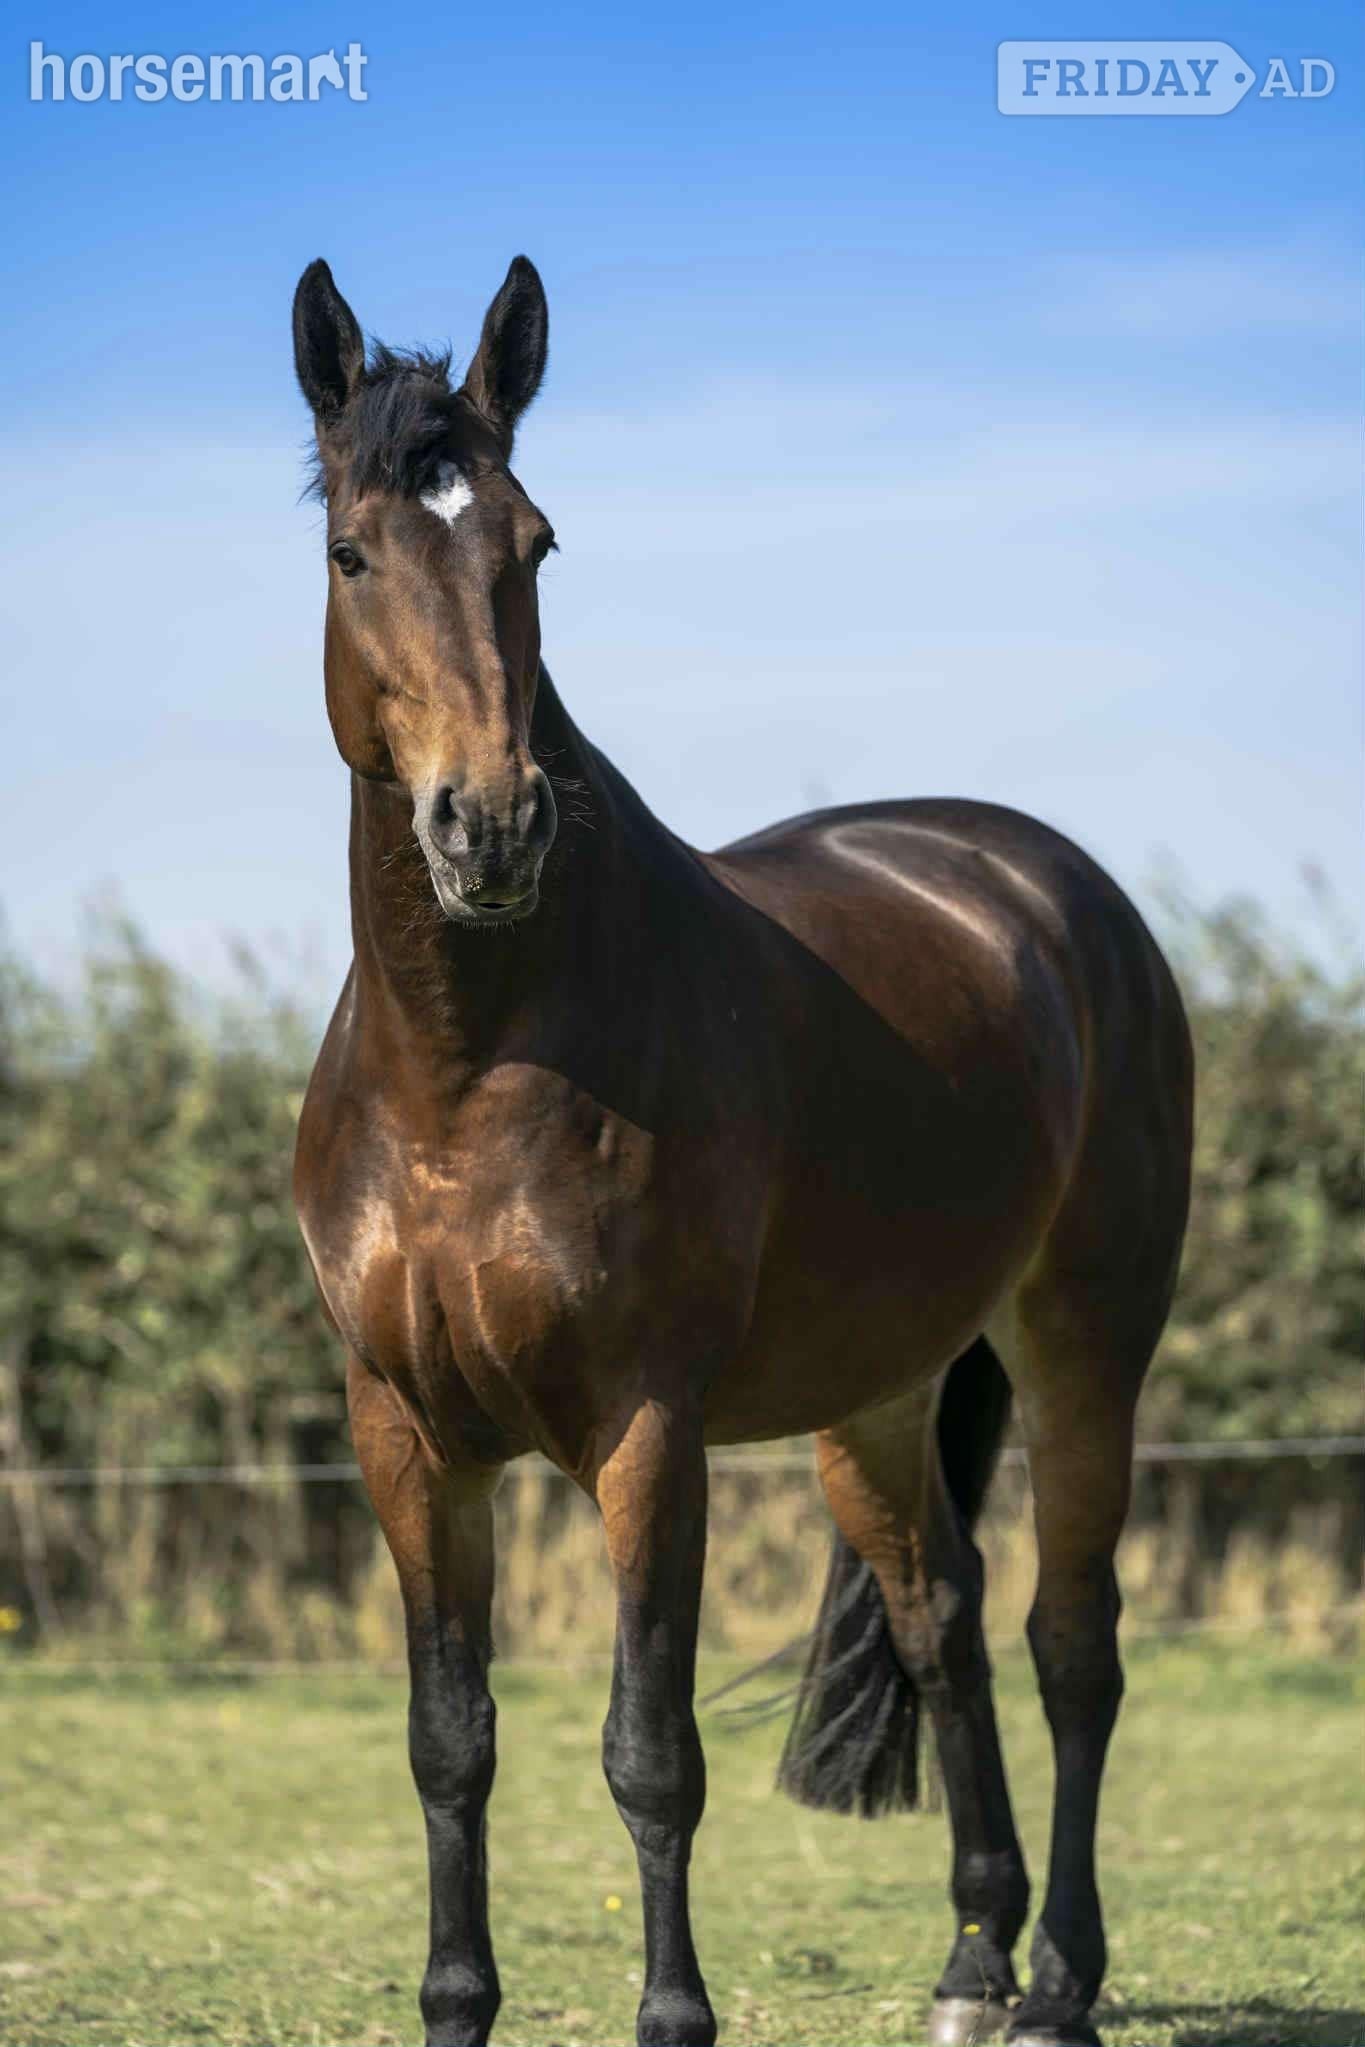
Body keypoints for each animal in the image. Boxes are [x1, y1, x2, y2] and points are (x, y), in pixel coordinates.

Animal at [290, 253, 1193, 2047]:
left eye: (534, 543)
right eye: (354, 552)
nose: (489, 827)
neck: (463, 1074)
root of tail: (1050, 885)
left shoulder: (649, 1432)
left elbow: (651, 1755)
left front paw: (673, 2017)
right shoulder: (407, 1435)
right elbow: (448, 1746)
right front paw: (454, 2007)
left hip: (1086, 1338)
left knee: (1072, 1642)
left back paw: (1059, 1980)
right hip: (882, 1390)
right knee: (943, 1623)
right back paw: (973, 1961)